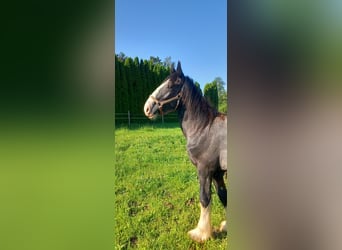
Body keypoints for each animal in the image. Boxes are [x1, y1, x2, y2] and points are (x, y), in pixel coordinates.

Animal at [144, 61, 227, 242]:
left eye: (171, 84)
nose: (147, 108)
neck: (204, 129)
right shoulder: (217, 173)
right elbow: (223, 195)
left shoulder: (205, 170)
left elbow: (204, 198)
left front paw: (201, 233)